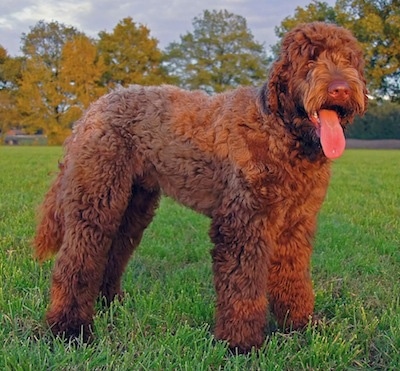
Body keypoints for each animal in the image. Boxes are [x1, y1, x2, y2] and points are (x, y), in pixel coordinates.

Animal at [34, 21, 368, 354]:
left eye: (348, 59)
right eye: (309, 60)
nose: (341, 88)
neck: (280, 132)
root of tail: (92, 110)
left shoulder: (295, 224)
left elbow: (293, 277)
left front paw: (301, 325)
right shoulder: (242, 223)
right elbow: (242, 287)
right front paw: (240, 343)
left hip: (133, 204)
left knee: (113, 250)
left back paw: (109, 302)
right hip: (96, 197)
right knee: (75, 261)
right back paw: (69, 328)